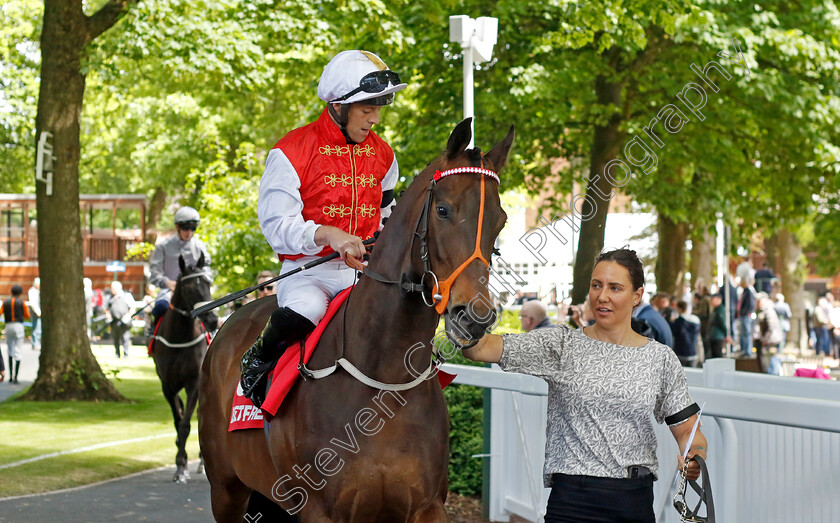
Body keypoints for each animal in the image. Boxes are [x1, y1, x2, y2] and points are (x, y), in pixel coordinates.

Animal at [151, 253, 218, 484]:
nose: (213, 319)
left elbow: (186, 424)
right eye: (188, 287)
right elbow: (178, 419)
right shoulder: (167, 386)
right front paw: (181, 462)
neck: (180, 337)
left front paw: (182, 465)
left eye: (207, 282)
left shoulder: (193, 384)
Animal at [199, 119, 512, 523]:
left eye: (500, 221)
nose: (473, 316)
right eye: (443, 209)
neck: (384, 379)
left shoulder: (426, 507)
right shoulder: (319, 510)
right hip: (226, 489)